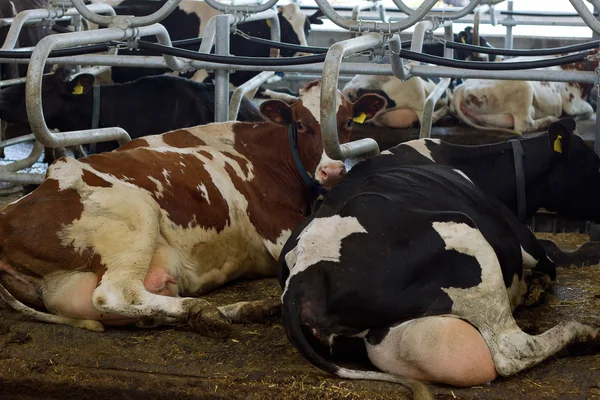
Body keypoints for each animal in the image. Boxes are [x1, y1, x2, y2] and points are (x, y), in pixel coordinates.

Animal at [0, 81, 386, 338]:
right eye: (302, 125)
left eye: (347, 122)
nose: (332, 171)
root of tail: (10, 213)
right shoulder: (278, 230)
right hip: (135, 213)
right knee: (115, 294)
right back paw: (203, 310)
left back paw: (245, 310)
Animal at [278, 119, 600, 400]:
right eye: (591, 163)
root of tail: (299, 282)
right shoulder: (527, 243)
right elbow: (548, 267)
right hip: (468, 238)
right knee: (512, 351)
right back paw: (585, 332)